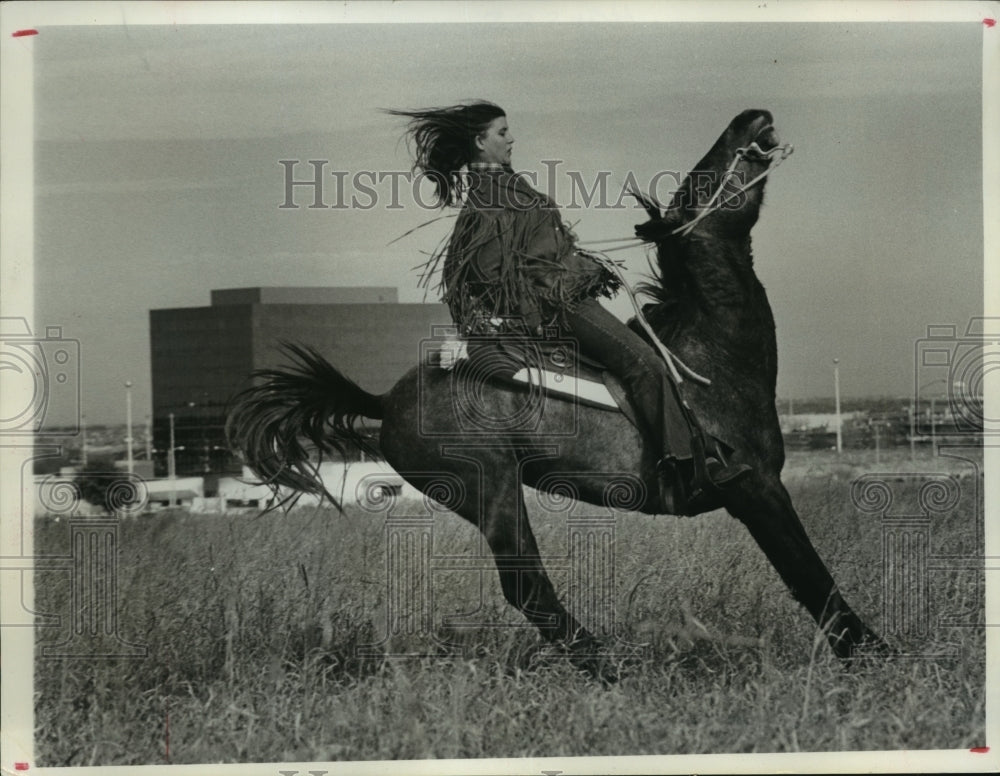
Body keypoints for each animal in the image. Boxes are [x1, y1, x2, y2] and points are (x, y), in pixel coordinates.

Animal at [230, 107, 888, 672]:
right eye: (699, 185)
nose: (752, 117)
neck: (708, 355)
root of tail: (384, 402)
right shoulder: (756, 488)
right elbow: (808, 572)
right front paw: (872, 652)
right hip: (490, 488)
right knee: (527, 584)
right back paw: (605, 664)